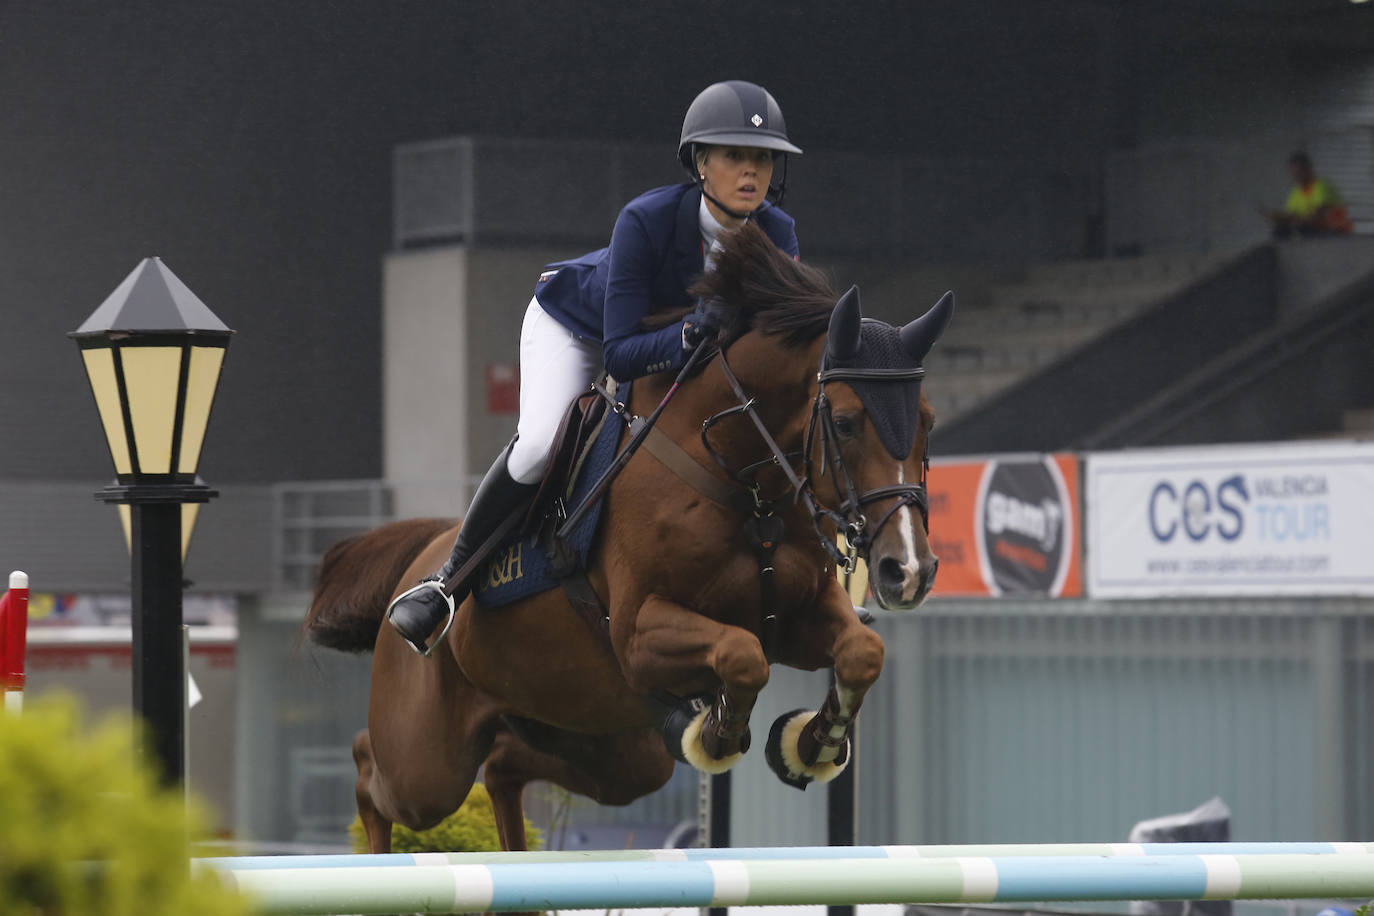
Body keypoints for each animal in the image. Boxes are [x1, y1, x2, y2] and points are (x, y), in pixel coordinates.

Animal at [302, 219, 950, 851]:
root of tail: (426, 554)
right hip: (428, 762)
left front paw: (809, 746)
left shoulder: (797, 618)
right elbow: (740, 656)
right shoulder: (641, 632)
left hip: (602, 742)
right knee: (371, 770)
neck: (742, 482)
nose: (908, 571)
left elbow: (861, 653)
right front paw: (718, 732)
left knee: (507, 765)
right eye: (844, 422)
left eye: (928, 422)